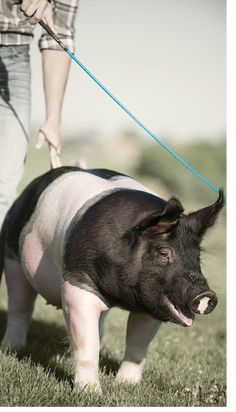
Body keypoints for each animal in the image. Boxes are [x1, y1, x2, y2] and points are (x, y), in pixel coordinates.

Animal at [0, 166, 224, 392]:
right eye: (163, 253)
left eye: (197, 257)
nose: (206, 293)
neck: (122, 298)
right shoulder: (78, 280)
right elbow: (87, 343)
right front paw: (90, 393)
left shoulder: (151, 305)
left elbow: (137, 346)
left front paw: (128, 386)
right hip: (12, 257)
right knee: (20, 307)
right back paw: (12, 348)